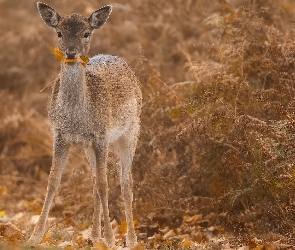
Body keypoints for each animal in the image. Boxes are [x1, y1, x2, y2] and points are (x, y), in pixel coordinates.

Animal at [28, 2, 142, 248]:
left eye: (86, 33)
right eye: (59, 32)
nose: (71, 52)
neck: (76, 118)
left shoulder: (101, 136)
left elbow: (105, 185)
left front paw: (111, 239)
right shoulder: (60, 135)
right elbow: (53, 181)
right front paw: (35, 236)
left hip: (131, 129)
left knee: (125, 180)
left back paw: (130, 239)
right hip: (89, 147)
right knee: (94, 181)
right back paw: (94, 235)